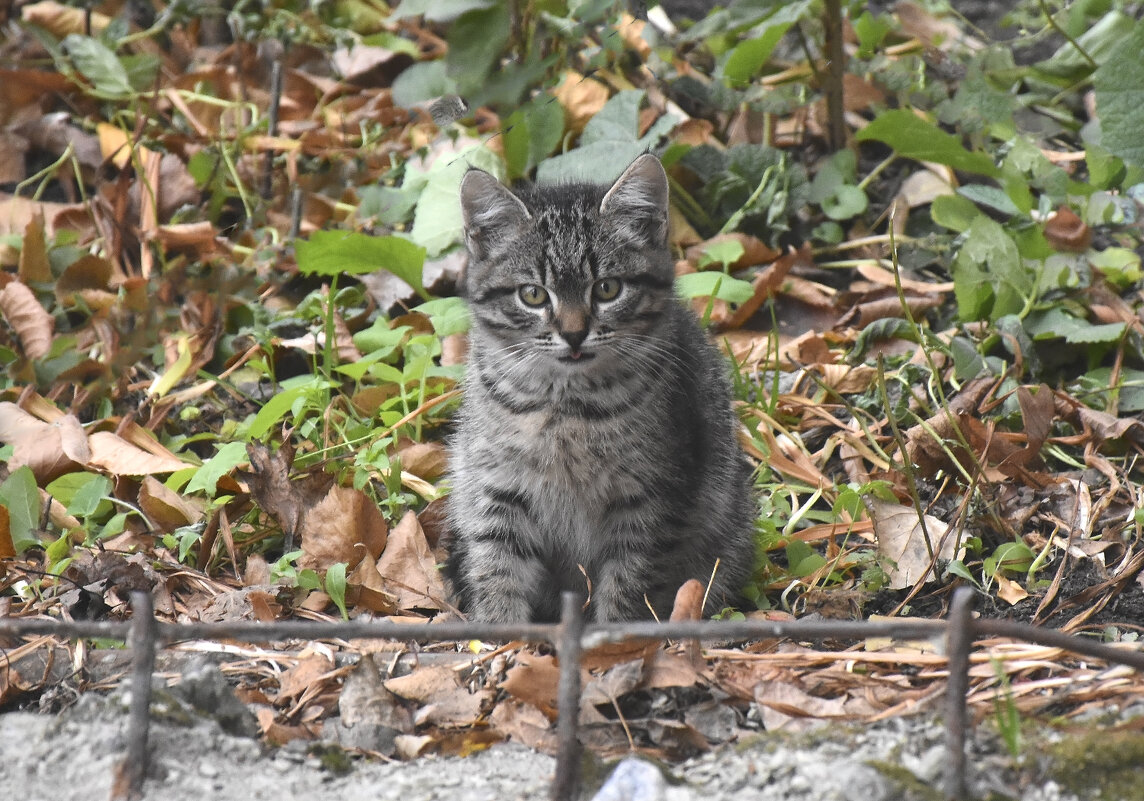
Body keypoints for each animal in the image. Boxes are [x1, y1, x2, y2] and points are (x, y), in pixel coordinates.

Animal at [448, 153, 759, 622]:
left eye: (608, 288)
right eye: (533, 294)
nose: (574, 334)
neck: (565, 407)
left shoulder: (650, 497)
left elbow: (629, 583)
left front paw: (613, 632)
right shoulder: (496, 487)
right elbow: (497, 567)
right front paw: (501, 629)